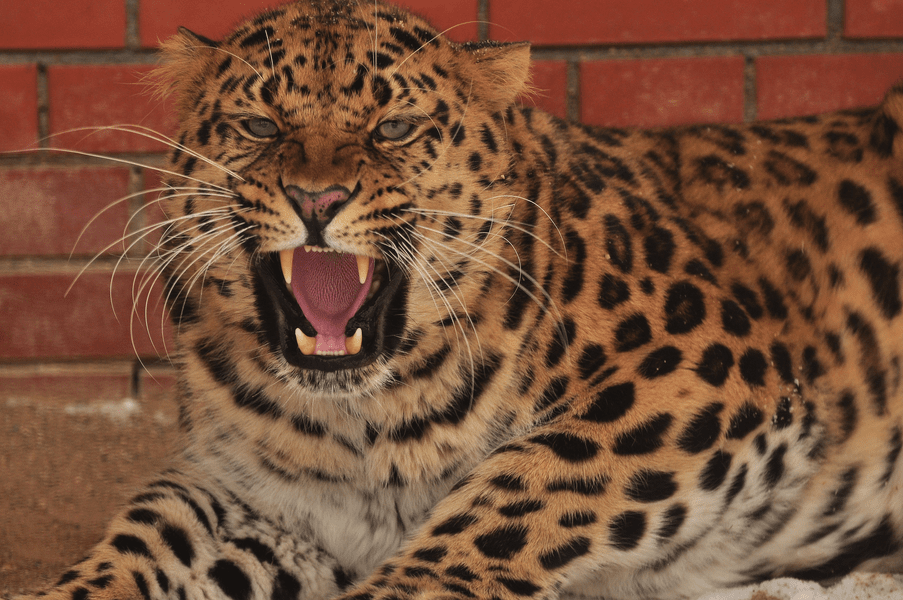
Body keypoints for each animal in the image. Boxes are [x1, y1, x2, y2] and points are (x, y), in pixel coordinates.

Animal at [13, 1, 903, 599]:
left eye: (395, 127)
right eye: (260, 126)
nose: (315, 197)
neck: (357, 424)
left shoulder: (702, 369)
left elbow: (518, 488)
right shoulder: (256, 497)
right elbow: (146, 538)